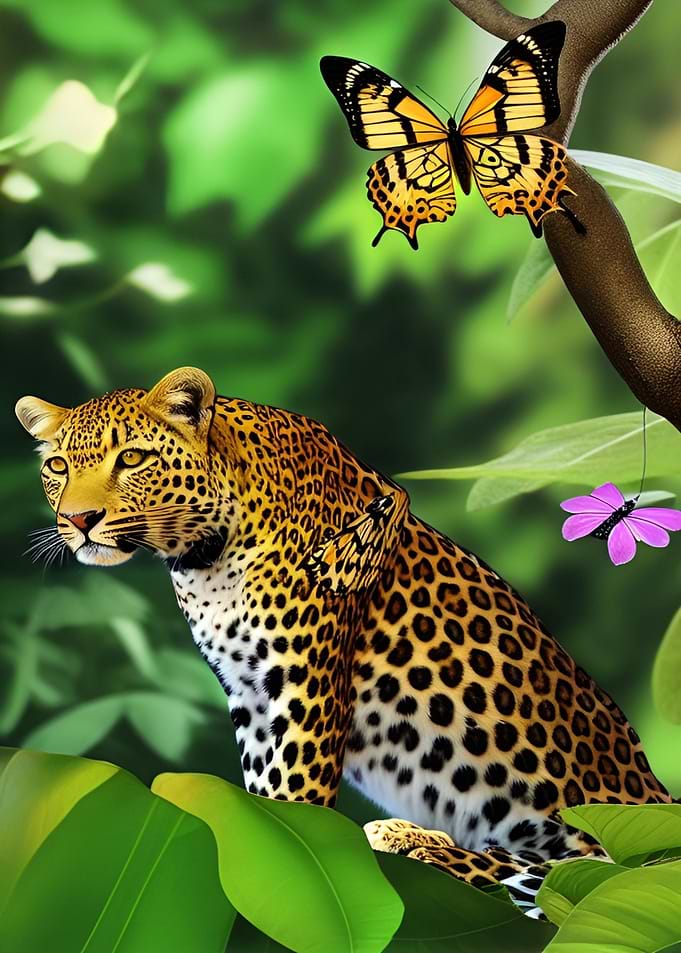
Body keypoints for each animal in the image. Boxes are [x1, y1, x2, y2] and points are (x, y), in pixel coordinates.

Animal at [16, 366, 671, 914]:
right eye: (58, 467)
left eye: (132, 458)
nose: (77, 520)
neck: (203, 559)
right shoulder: (249, 695)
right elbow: (263, 794)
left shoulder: (301, 686)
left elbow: (295, 796)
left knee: (552, 874)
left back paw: (409, 839)